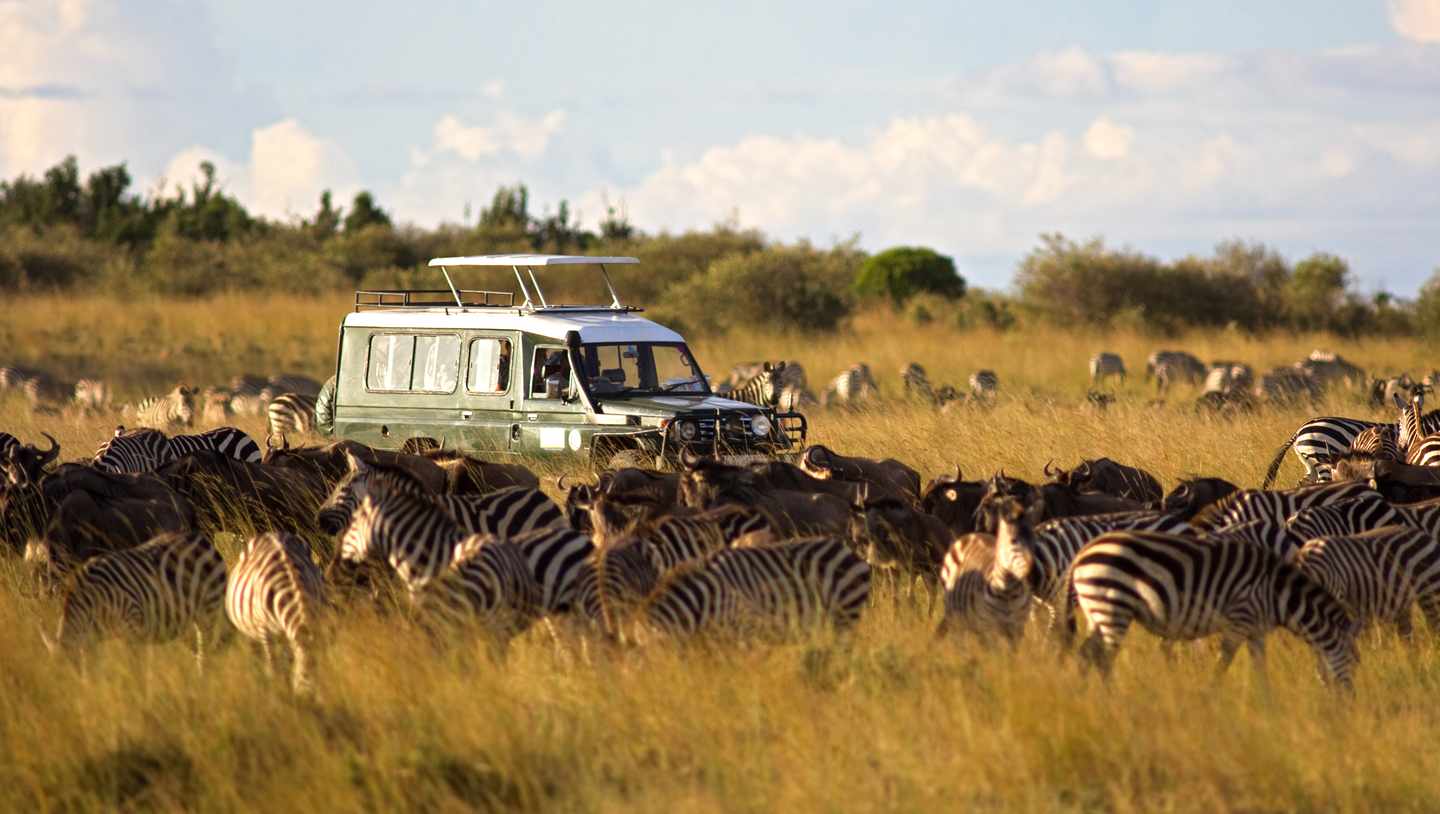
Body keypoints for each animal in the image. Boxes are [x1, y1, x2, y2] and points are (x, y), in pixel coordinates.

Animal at [41, 532, 229, 667]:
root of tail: (202, 540)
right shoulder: (92, 636)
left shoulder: (132, 626)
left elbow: (134, 666)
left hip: (208, 609)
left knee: (206, 650)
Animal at [226, 532, 328, 693]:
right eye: (304, 679)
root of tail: (271, 534)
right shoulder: (265, 631)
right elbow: (274, 668)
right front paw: (277, 692)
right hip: (252, 632)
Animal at [937, 497, 1035, 645]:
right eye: (1013, 541)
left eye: (1034, 540)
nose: (1032, 573)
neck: (1008, 592)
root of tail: (972, 534)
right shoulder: (989, 628)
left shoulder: (1017, 629)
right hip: (955, 616)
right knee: (959, 642)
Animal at [1067, 530, 1359, 689]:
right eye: (1355, 663)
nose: (1350, 703)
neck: (1277, 593)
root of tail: (1082, 553)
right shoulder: (1240, 619)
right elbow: (1223, 661)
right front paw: (1210, 695)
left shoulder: (1256, 630)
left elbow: (1259, 668)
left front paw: (1267, 705)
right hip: (1113, 607)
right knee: (1103, 659)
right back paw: (1111, 697)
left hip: (1097, 611)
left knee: (1085, 656)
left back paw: (1084, 695)